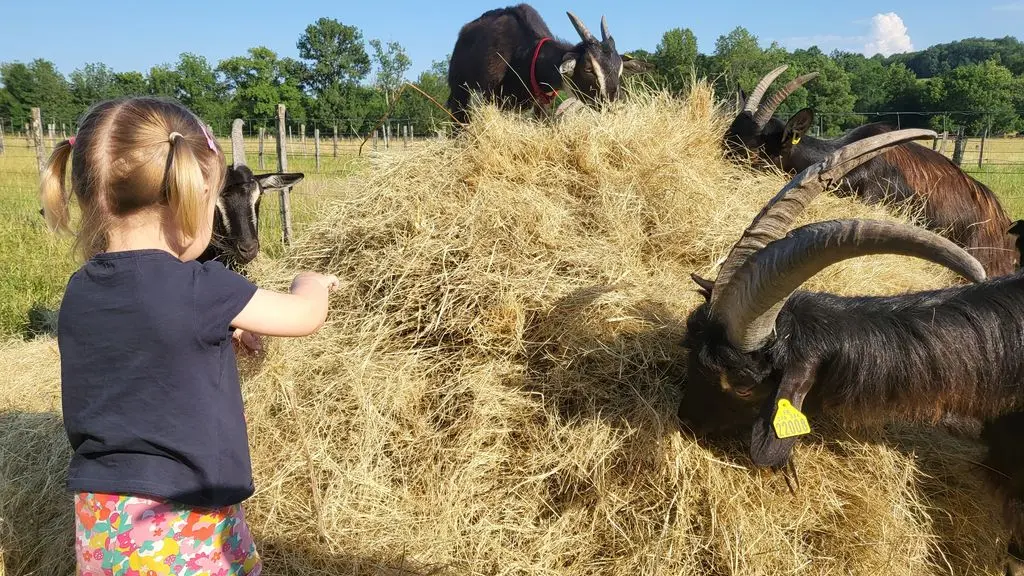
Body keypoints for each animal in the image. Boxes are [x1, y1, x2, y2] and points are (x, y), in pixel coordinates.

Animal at [446, 4, 651, 123]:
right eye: (588, 69)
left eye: (619, 70)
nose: (614, 106)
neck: (523, 56)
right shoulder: (489, 97)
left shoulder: (539, 105)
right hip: (460, 93)